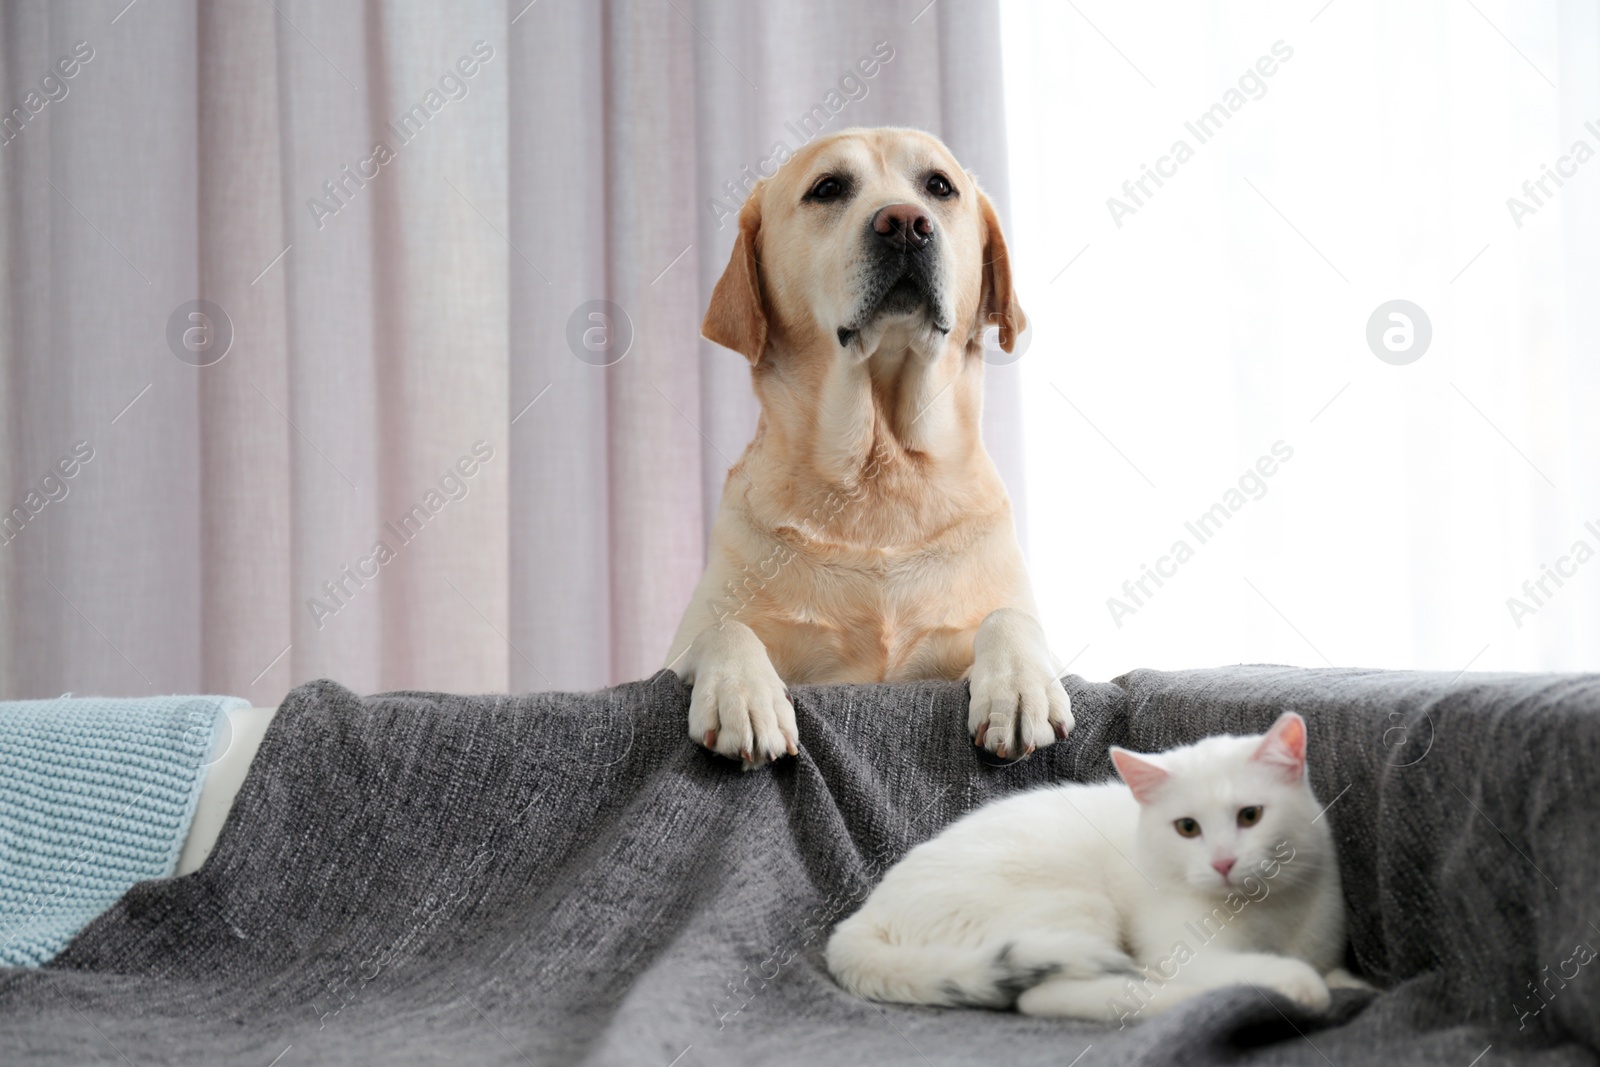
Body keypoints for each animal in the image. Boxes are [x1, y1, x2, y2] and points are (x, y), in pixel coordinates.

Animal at [665, 127, 1075, 767]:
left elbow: (1010, 618)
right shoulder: (675, 654)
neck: (880, 468)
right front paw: (743, 696)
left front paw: (1020, 686)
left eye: (939, 186)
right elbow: (724, 628)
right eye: (828, 188)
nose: (905, 223)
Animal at [825, 713, 1363, 1023]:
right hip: (1069, 905)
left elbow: (1333, 971)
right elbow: (1271, 972)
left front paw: (1348, 983)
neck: (1269, 913)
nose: (1224, 862)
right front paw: (1302, 986)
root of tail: (868, 915)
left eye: (1250, 816)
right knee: (1047, 997)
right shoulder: (1183, 952)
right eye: (1187, 828)